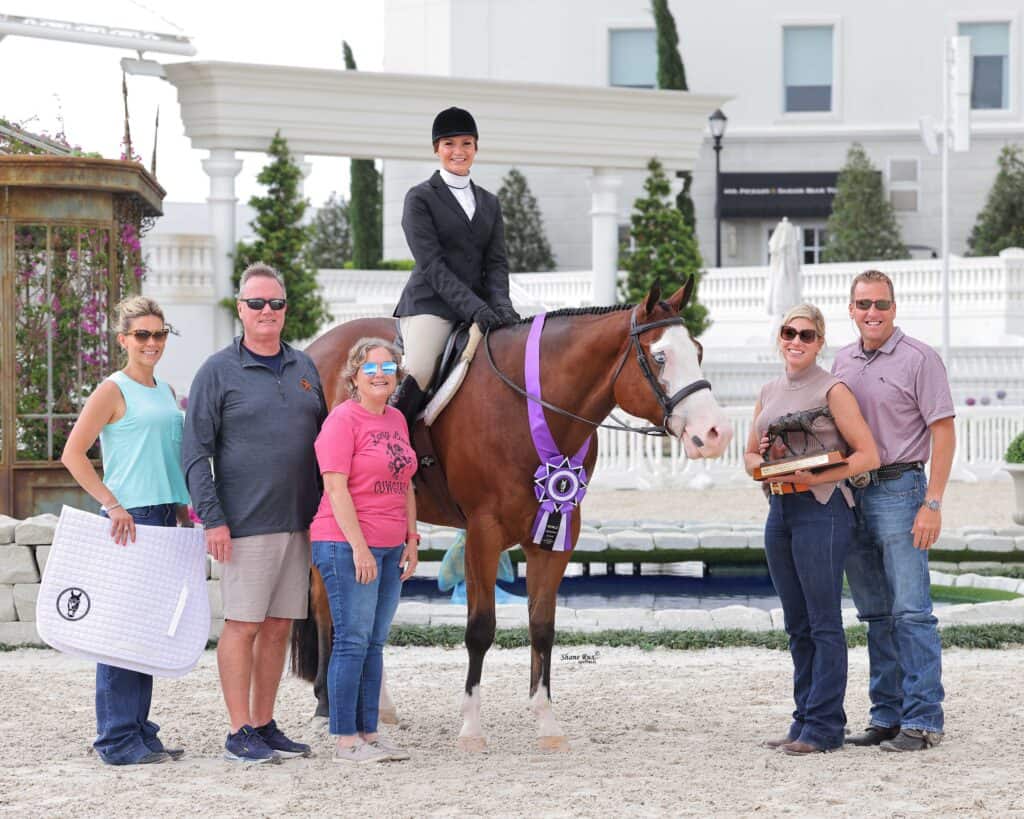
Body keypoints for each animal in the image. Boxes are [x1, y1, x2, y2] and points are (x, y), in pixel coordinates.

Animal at [291, 280, 733, 750]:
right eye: (661, 357)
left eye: (698, 350)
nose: (716, 434)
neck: (529, 405)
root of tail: (315, 347)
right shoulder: (483, 532)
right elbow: (480, 628)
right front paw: (471, 728)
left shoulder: (558, 530)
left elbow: (542, 626)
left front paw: (547, 722)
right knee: (326, 602)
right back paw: (325, 706)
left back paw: (378, 705)